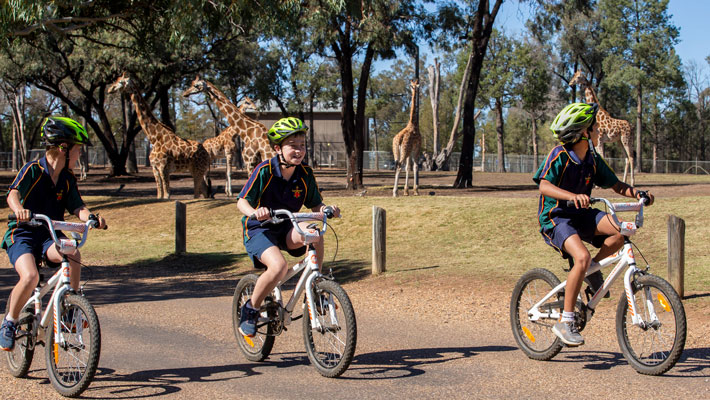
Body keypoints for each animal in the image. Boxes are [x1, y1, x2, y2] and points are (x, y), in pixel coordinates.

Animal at [107, 72, 210, 200]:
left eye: (121, 82)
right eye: (115, 80)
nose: (110, 89)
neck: (154, 138)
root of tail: (206, 153)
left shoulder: (163, 168)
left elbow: (166, 195)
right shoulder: (155, 168)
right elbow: (159, 194)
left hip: (198, 169)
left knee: (197, 193)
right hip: (194, 169)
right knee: (204, 191)